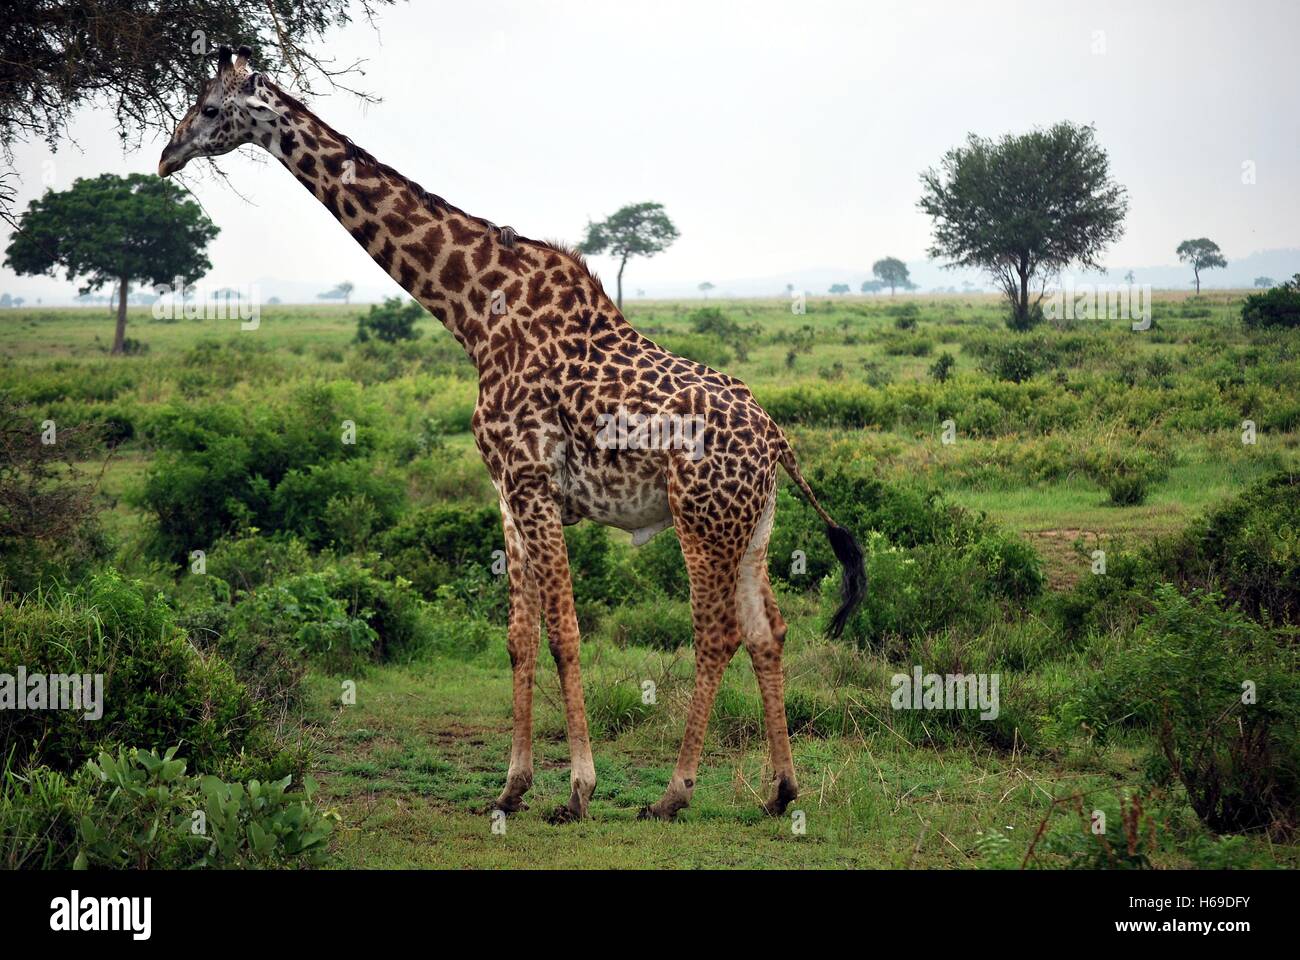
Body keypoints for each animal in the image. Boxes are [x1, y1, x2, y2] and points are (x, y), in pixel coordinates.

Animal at [162, 46, 868, 822]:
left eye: (211, 107)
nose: (166, 156)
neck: (473, 312)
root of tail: (779, 443)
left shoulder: (531, 479)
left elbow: (565, 632)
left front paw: (578, 790)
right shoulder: (505, 489)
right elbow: (519, 638)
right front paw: (512, 786)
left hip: (701, 519)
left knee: (716, 634)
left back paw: (673, 793)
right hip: (752, 525)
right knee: (769, 631)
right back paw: (781, 789)